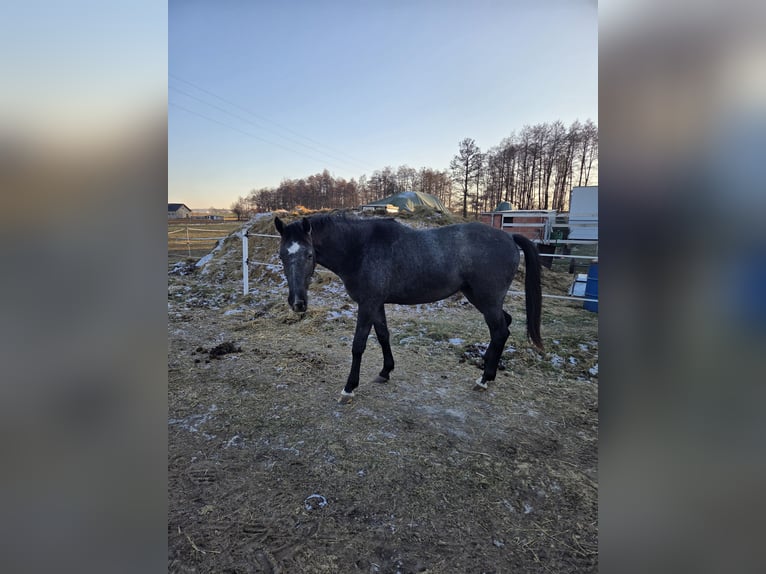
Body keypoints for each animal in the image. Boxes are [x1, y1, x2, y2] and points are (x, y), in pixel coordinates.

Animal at [274, 213, 543, 404]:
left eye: (309, 255)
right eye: (282, 256)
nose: (298, 303)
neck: (359, 248)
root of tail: (509, 238)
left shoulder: (367, 304)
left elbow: (358, 345)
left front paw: (349, 388)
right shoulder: (376, 304)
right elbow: (383, 335)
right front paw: (385, 371)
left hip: (487, 300)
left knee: (500, 331)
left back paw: (484, 379)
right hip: (480, 298)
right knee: (505, 325)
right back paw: (488, 368)